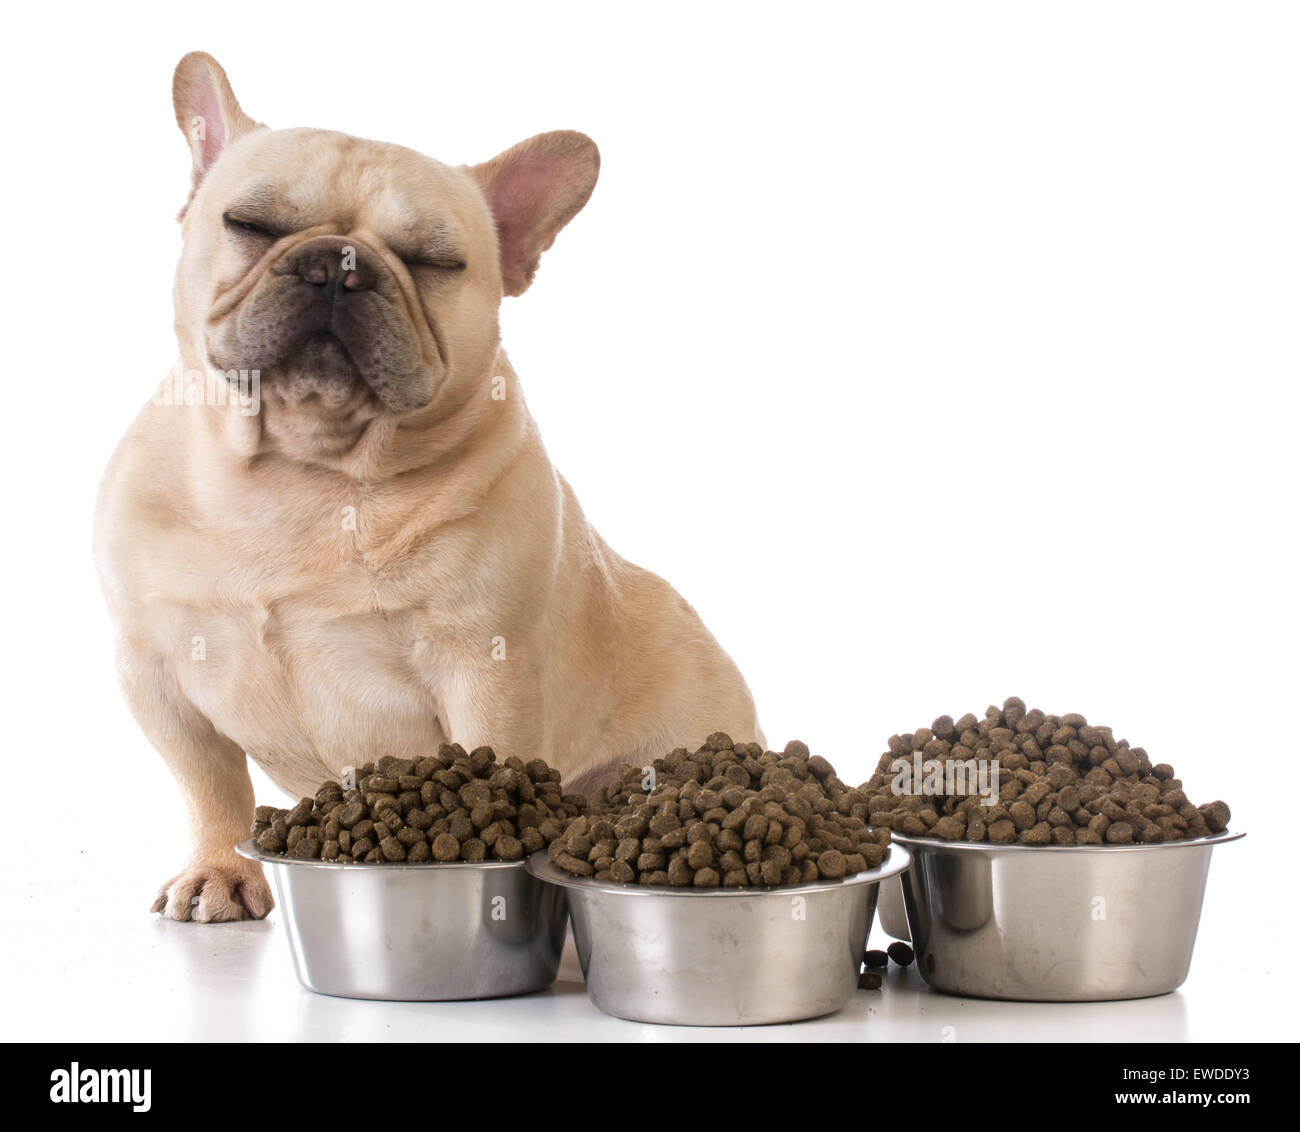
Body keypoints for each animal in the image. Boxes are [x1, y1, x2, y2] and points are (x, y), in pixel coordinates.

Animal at [94, 51, 759, 920]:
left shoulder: (485, 669)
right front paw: (219, 869)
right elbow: (209, 783)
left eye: (434, 261)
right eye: (252, 225)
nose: (335, 265)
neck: (306, 474)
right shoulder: (155, 667)